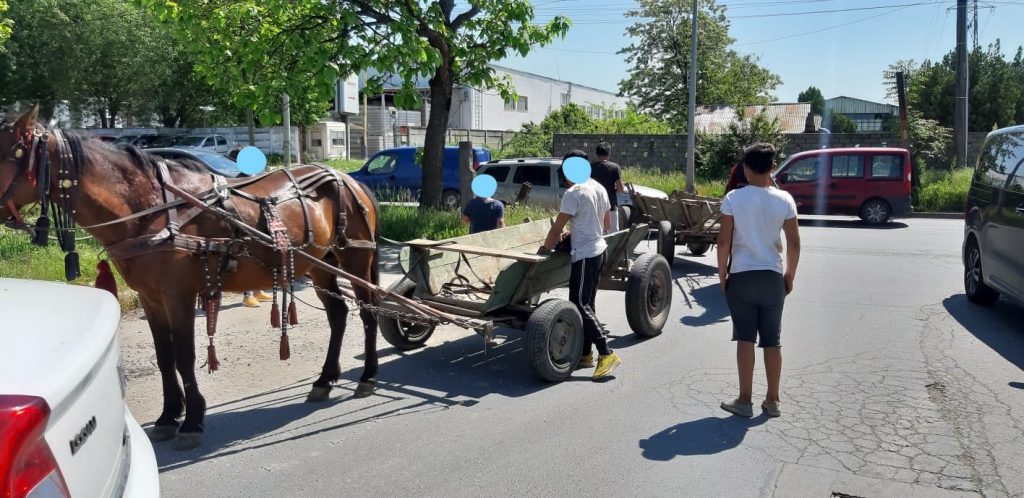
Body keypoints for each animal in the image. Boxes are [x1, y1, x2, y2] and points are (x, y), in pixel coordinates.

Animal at [0, 105, 382, 450]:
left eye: (5, 154)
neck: (151, 208)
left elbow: (184, 355)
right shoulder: (151, 297)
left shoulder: (178, 295)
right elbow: (164, 357)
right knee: (338, 316)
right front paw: (170, 415)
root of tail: (350, 179)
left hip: (355, 259)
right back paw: (325, 379)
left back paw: (367, 375)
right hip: (321, 265)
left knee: (369, 312)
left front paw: (193, 420)